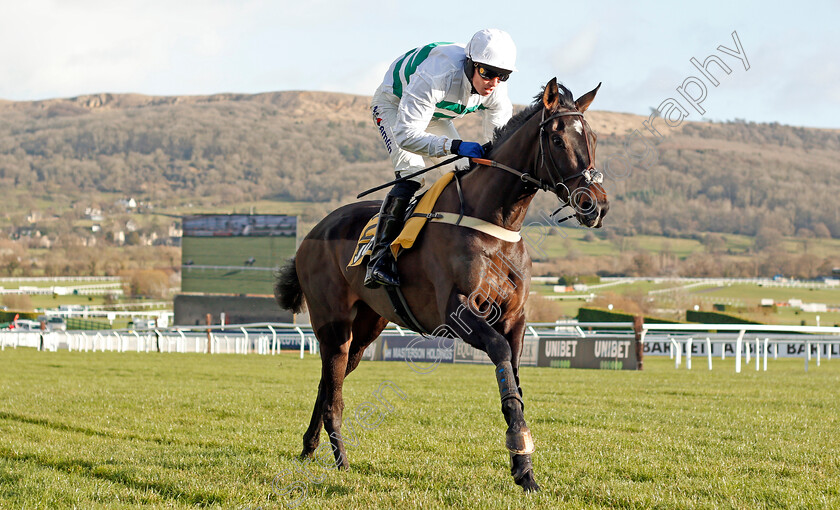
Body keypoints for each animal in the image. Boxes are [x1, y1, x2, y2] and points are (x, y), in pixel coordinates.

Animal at [276, 77, 612, 492]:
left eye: (592, 137)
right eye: (557, 139)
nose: (596, 205)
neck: (494, 223)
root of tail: (312, 233)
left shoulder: (515, 317)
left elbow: (515, 374)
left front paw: (525, 468)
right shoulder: (458, 312)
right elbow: (501, 356)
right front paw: (519, 447)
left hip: (366, 327)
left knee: (327, 384)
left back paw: (309, 448)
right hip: (333, 323)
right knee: (333, 394)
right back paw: (341, 462)